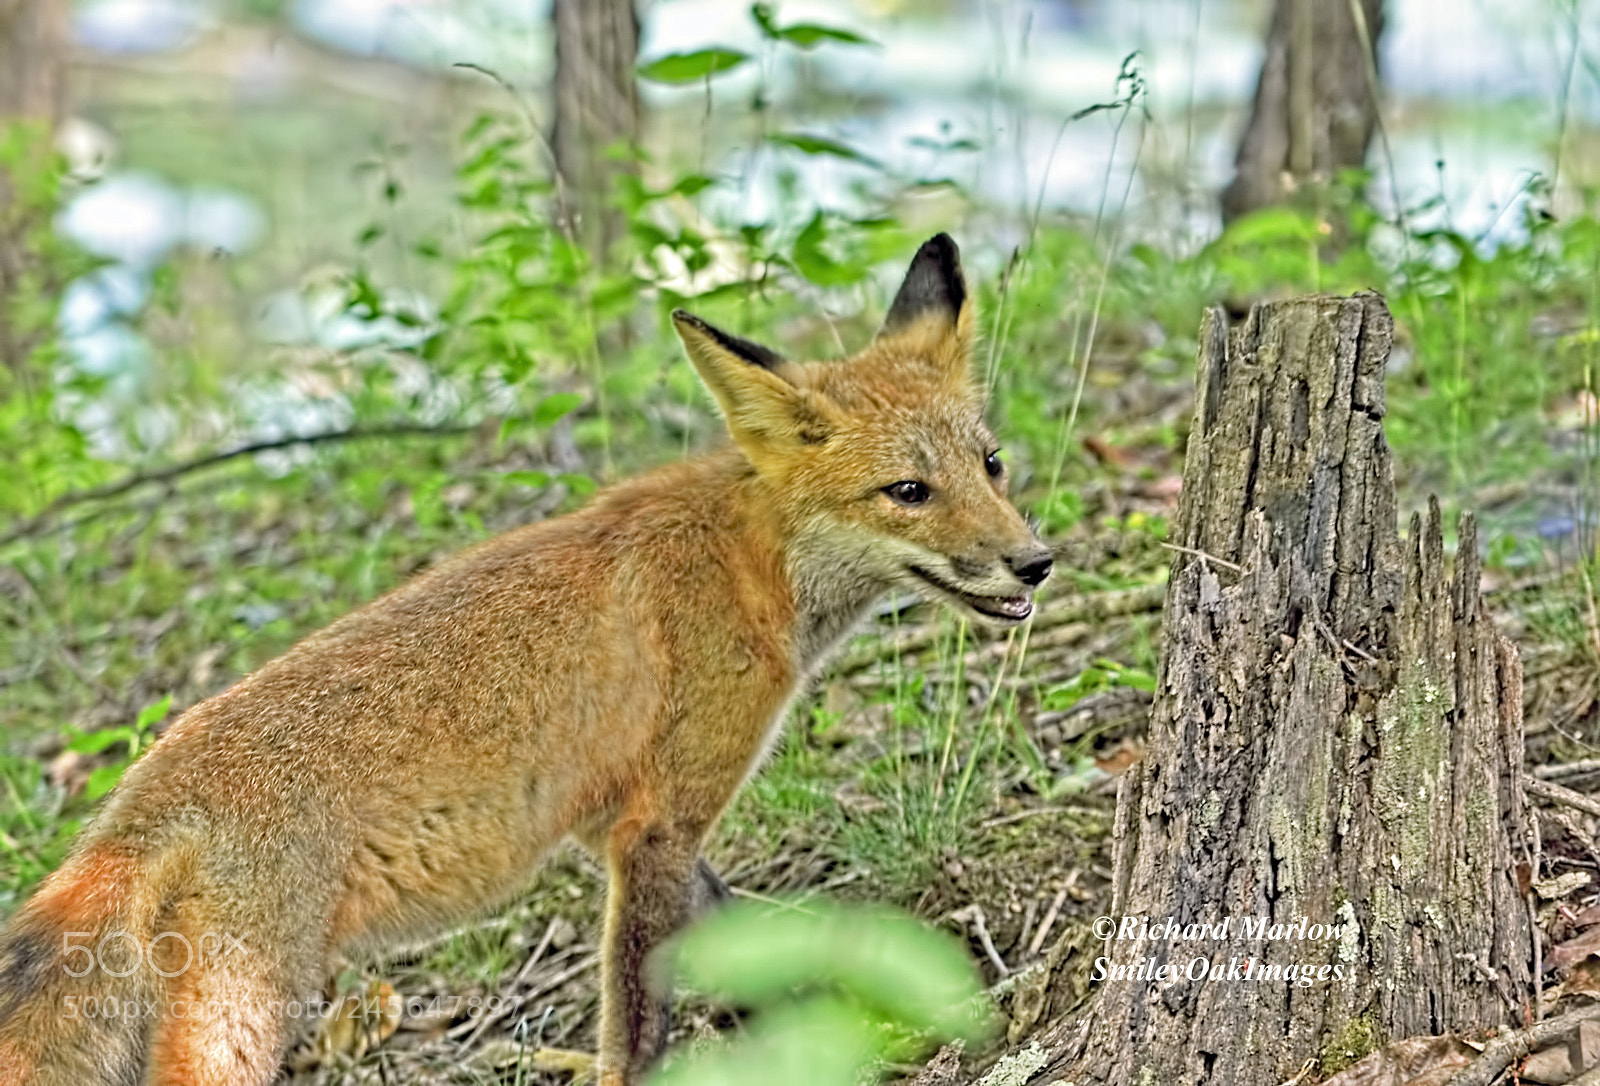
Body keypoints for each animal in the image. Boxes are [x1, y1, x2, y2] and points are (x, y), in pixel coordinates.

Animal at [0, 234, 1051, 1086]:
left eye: (991, 465)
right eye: (907, 491)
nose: (1034, 560)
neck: (745, 561)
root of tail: (132, 813)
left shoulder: (613, 823)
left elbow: (748, 936)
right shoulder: (659, 823)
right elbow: (639, 1025)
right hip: (248, 1014)